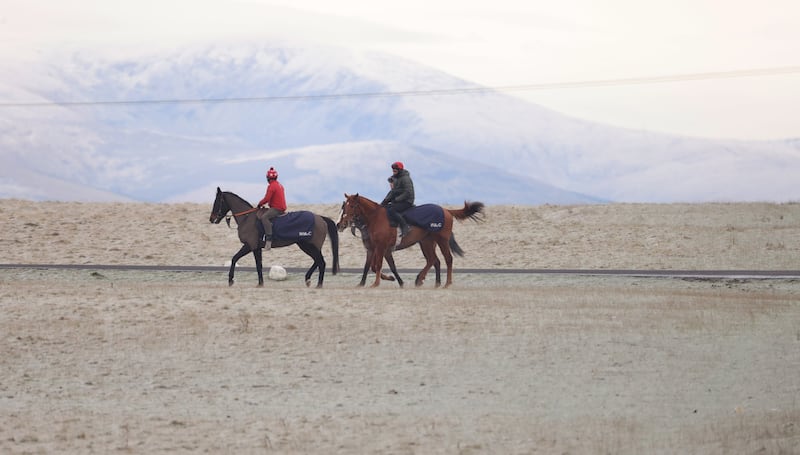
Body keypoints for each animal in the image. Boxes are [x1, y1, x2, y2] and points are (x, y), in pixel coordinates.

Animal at [208, 189, 340, 288]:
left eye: (217, 201)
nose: (211, 219)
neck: (247, 218)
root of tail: (320, 218)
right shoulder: (257, 248)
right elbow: (258, 264)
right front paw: (260, 283)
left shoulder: (250, 246)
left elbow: (236, 258)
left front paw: (231, 279)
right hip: (308, 246)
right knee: (318, 261)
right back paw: (308, 279)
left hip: (309, 246)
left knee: (321, 262)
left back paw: (318, 284)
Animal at [336, 193, 484, 286]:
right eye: (344, 206)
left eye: (352, 206)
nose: (339, 224)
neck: (374, 218)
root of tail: (446, 211)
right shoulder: (374, 249)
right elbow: (371, 266)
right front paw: (363, 284)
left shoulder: (381, 247)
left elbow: (377, 265)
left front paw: (376, 283)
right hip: (426, 242)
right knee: (434, 260)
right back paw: (431, 282)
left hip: (442, 240)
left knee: (447, 259)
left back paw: (446, 283)